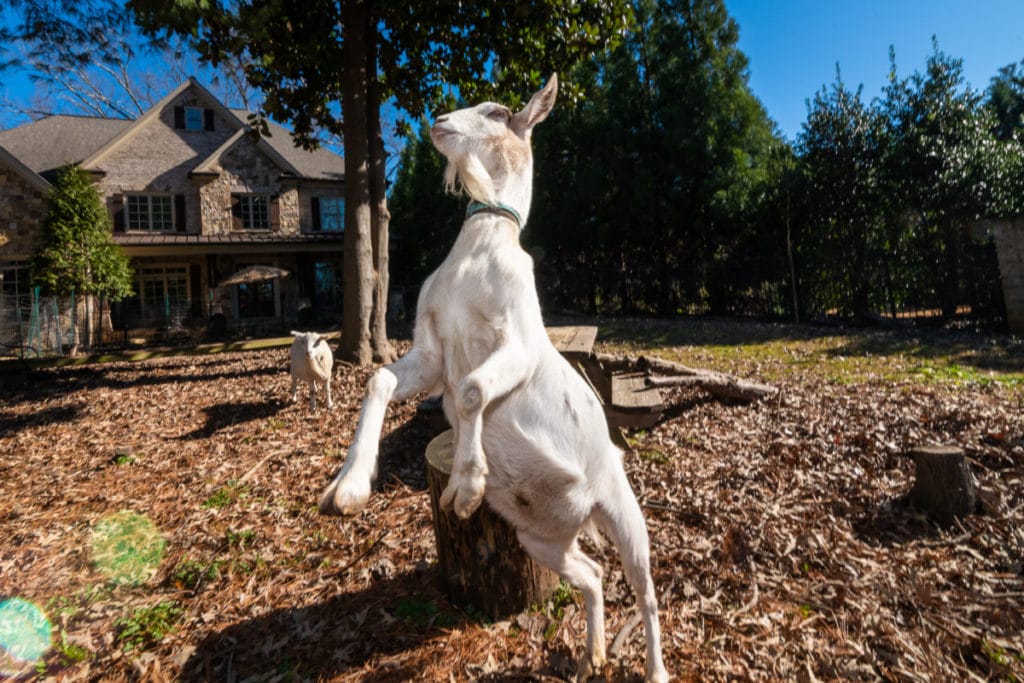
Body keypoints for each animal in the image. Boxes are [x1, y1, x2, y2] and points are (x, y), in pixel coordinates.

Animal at [319, 75, 668, 682]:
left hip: (626, 515)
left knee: (645, 592)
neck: (477, 257)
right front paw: (349, 488)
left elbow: (475, 390)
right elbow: (380, 381)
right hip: (540, 540)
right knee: (593, 574)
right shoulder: (431, 353)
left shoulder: (518, 343)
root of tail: (583, 514)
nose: (438, 120)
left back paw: (654, 670)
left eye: (501, 111)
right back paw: (589, 657)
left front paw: (467, 486)